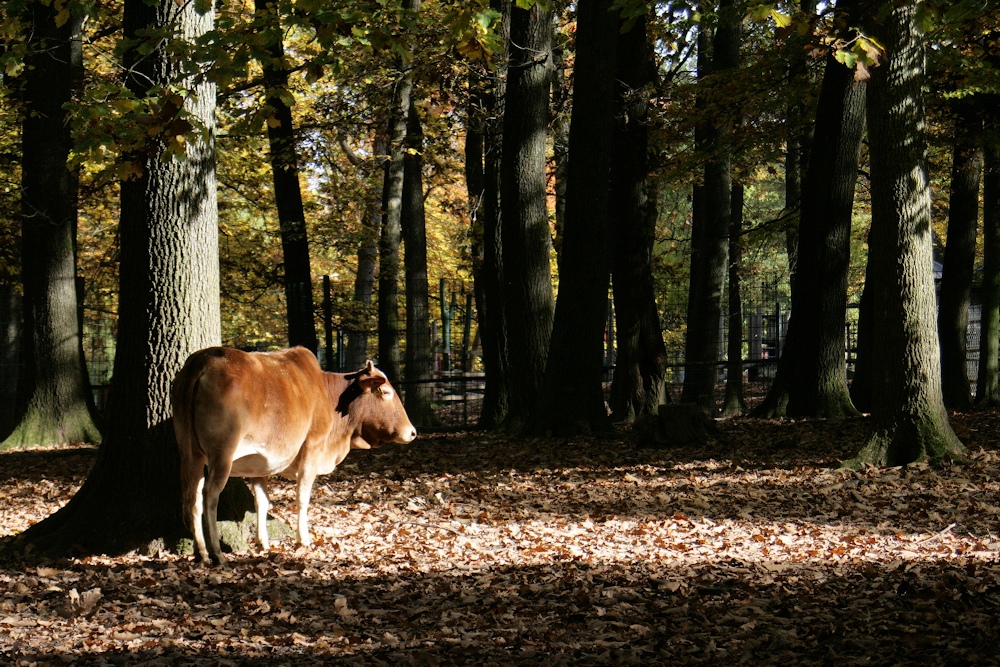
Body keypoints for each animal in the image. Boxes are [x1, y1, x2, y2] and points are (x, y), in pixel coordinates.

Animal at [172, 348, 414, 568]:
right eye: (385, 392)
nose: (412, 432)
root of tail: (201, 361)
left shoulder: (259, 464)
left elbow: (262, 501)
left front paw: (263, 542)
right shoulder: (313, 447)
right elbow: (302, 496)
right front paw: (303, 539)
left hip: (190, 454)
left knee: (192, 498)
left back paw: (200, 552)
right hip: (222, 454)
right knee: (209, 496)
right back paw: (216, 553)